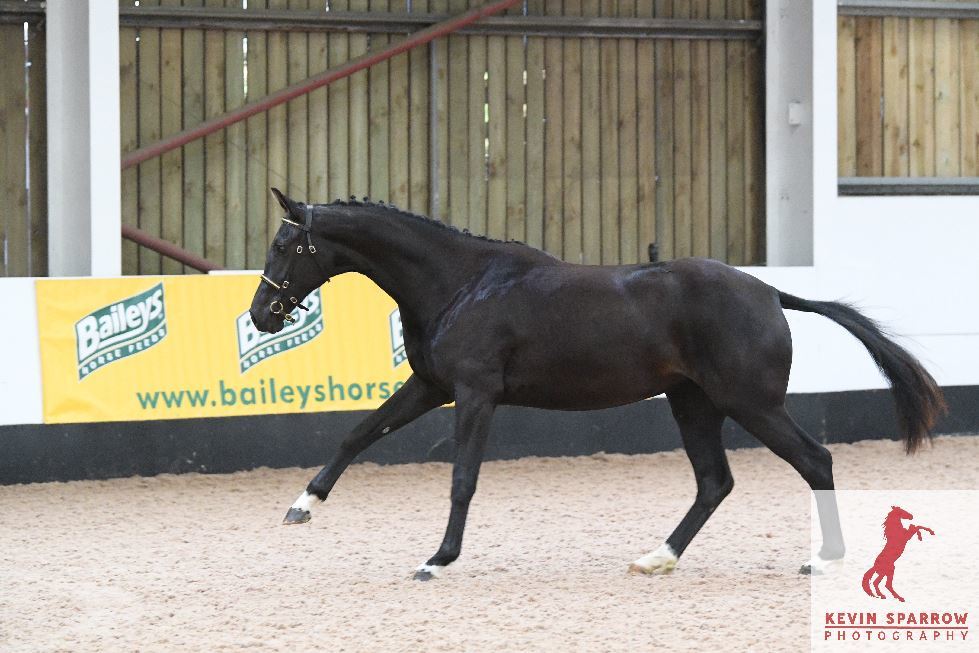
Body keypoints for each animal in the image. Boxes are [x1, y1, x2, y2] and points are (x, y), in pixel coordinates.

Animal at [248, 188, 946, 581]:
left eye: (285, 244)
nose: (261, 316)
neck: (461, 283)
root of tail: (771, 291)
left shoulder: (475, 394)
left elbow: (462, 479)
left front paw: (436, 560)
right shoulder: (432, 386)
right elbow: (358, 433)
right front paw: (302, 506)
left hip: (752, 403)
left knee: (815, 460)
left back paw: (824, 558)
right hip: (694, 403)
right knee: (714, 481)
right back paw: (657, 558)